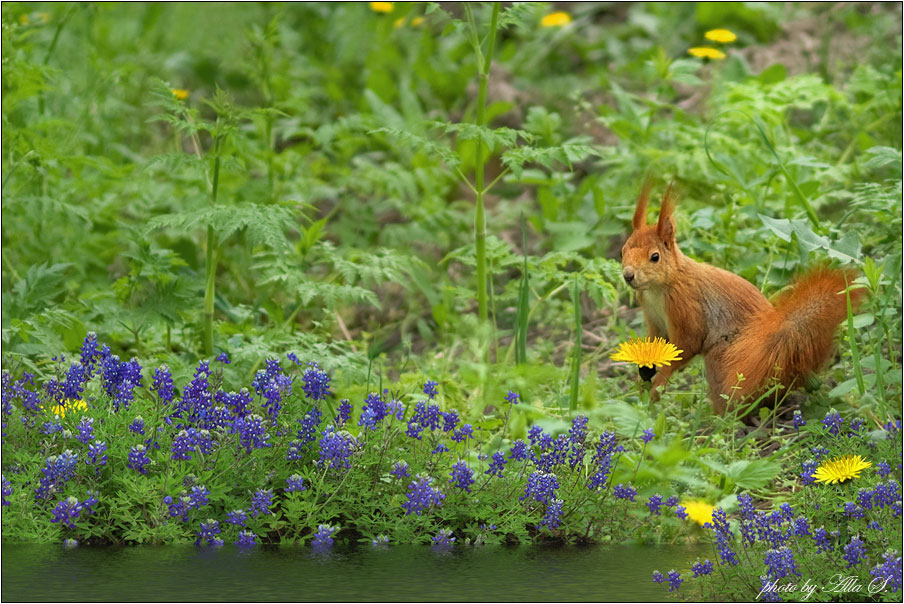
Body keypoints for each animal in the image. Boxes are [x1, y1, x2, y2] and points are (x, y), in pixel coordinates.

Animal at [620, 182, 860, 412]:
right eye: (622, 250)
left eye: (655, 257)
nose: (628, 275)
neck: (658, 288)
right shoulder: (652, 315)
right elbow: (656, 342)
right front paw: (643, 374)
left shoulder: (686, 305)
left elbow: (687, 344)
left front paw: (658, 383)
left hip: (723, 359)